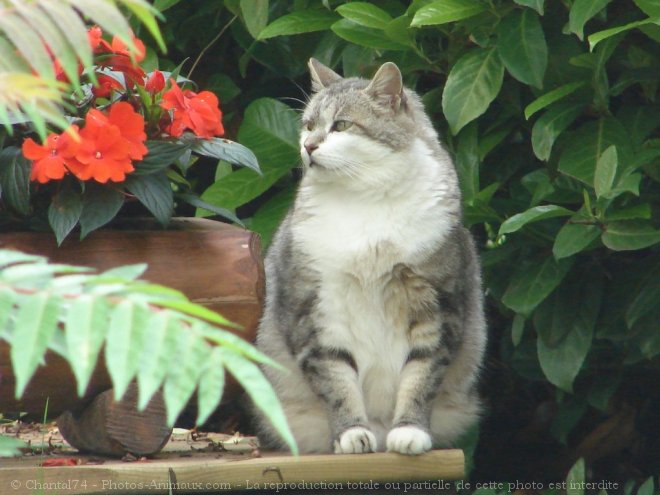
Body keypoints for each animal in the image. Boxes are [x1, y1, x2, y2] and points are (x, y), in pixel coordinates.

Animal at [255, 59, 488, 458]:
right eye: (308, 125)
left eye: (341, 125)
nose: (308, 145)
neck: (365, 197)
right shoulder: (317, 308)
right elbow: (335, 380)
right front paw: (351, 433)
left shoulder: (438, 308)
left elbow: (422, 376)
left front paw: (410, 431)